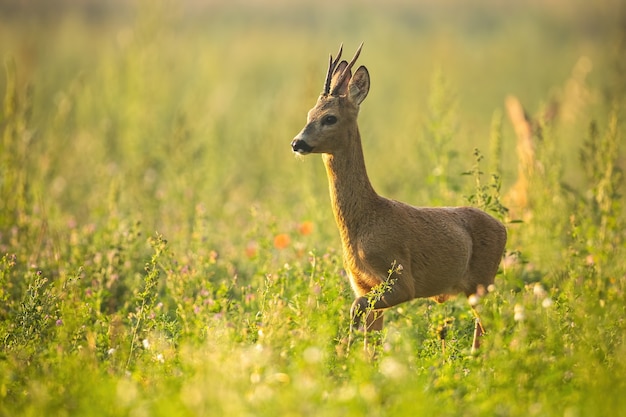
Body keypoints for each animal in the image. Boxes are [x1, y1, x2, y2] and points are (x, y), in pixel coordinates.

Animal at [290, 44, 504, 352]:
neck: (364, 221)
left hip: (482, 280)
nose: (297, 143)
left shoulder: (401, 279)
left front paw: (342, 351)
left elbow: (356, 308)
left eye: (329, 117)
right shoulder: (363, 283)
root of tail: (504, 227)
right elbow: (370, 342)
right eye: (309, 113)